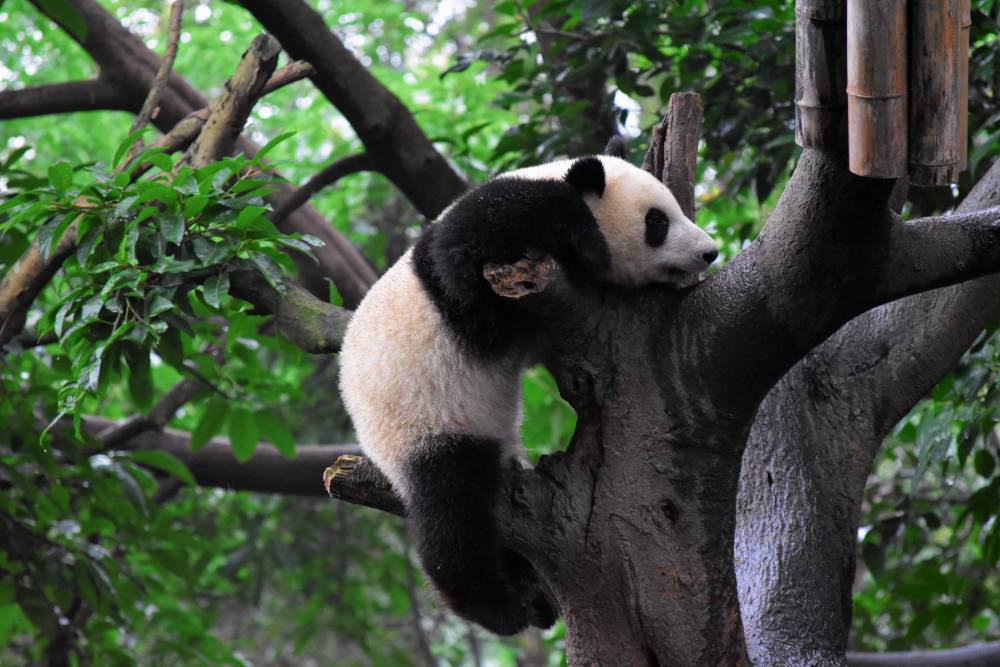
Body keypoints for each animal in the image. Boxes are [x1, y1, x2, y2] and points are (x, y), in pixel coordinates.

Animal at [338, 152, 718, 635]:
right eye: (657, 221)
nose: (710, 251)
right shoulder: (473, 253)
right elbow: (464, 259)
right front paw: (591, 245)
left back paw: (534, 597)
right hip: (422, 425)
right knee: (454, 513)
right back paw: (498, 608)